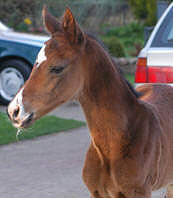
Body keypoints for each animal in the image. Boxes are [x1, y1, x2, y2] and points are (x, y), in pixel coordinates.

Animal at [7, 6, 173, 198]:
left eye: (57, 68)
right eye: (35, 63)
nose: (14, 110)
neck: (111, 147)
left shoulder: (139, 193)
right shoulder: (96, 192)